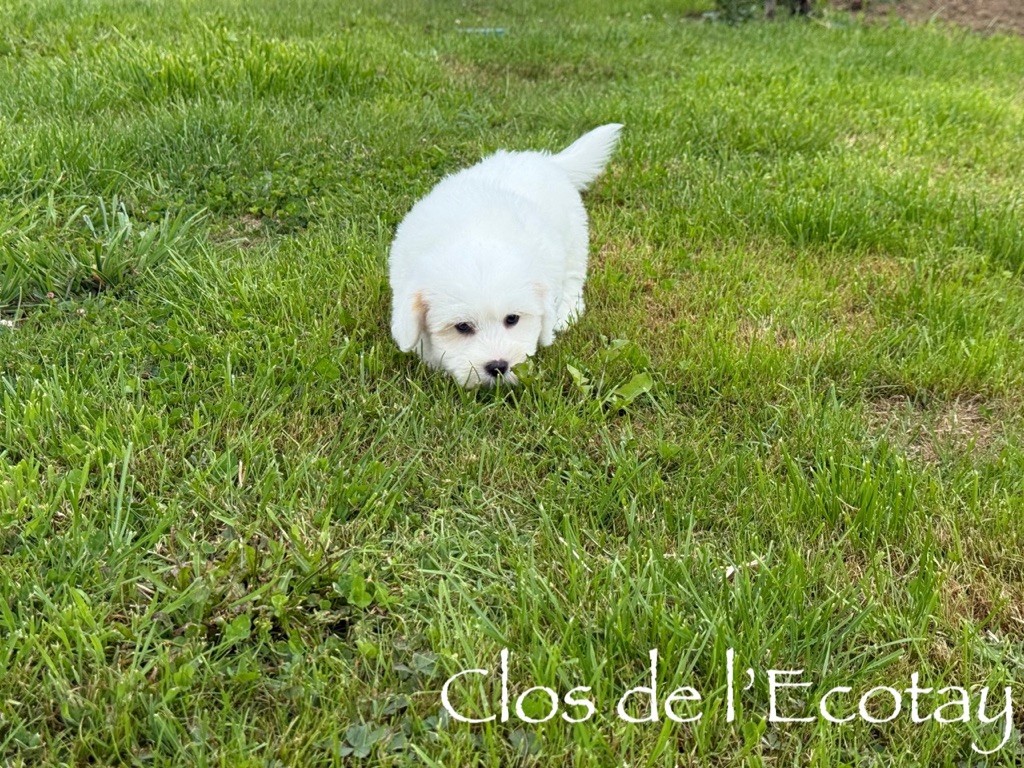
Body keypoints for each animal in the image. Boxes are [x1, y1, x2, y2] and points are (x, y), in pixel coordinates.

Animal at [388, 124, 623, 388]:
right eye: (462, 327)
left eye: (512, 319)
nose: (498, 366)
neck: (474, 234)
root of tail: (546, 160)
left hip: (574, 238)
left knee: (573, 278)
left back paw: (566, 314)